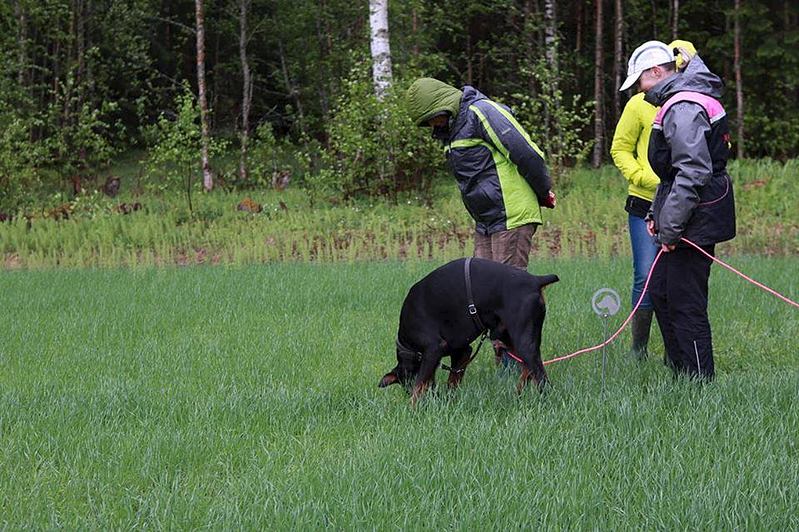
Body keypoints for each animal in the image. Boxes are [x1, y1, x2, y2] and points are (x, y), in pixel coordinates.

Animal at [380, 258, 556, 404]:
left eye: (407, 385)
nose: (432, 398)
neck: (409, 347)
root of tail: (535, 280)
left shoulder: (433, 349)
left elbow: (419, 385)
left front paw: (411, 408)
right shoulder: (462, 351)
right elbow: (452, 380)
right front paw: (449, 401)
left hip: (522, 340)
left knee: (540, 375)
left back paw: (544, 401)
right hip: (505, 335)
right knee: (528, 368)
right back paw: (517, 394)